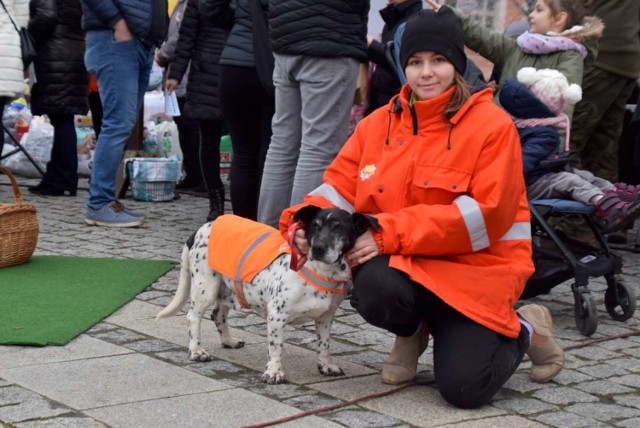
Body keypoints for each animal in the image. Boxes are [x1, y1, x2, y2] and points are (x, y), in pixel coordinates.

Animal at [156, 206, 376, 382]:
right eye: (315, 226)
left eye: (339, 228)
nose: (318, 248)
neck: (320, 272)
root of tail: (201, 228)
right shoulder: (276, 315)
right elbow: (276, 346)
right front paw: (274, 372)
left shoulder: (325, 317)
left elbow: (324, 345)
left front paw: (326, 366)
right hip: (206, 287)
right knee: (193, 317)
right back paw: (196, 351)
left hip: (225, 287)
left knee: (217, 315)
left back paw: (228, 341)